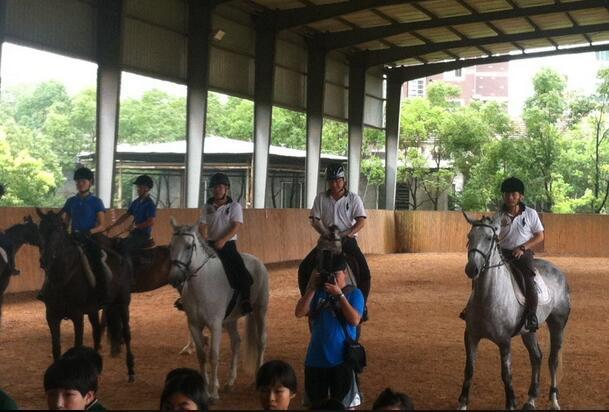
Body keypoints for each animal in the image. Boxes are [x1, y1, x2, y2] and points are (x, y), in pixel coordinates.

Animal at [36, 208, 136, 382]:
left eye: (58, 230)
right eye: (40, 230)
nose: (45, 260)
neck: (62, 278)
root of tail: (120, 257)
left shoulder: (77, 316)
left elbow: (77, 345)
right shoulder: (52, 316)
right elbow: (56, 348)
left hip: (122, 303)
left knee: (126, 333)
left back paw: (130, 370)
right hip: (94, 310)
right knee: (97, 332)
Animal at [168, 218, 268, 402]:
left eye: (188, 246)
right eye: (171, 246)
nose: (174, 278)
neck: (201, 284)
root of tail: (257, 260)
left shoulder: (214, 325)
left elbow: (213, 356)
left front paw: (213, 393)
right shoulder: (194, 324)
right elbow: (201, 356)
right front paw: (206, 389)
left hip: (260, 309)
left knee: (261, 341)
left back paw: (257, 379)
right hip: (230, 319)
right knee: (236, 341)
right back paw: (230, 382)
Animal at [459, 213, 571, 410]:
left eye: (489, 238)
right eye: (469, 236)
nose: (472, 269)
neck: (487, 297)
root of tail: (559, 272)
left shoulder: (504, 341)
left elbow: (506, 374)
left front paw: (511, 403)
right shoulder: (471, 336)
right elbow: (469, 370)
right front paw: (463, 404)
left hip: (557, 324)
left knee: (553, 361)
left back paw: (554, 401)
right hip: (528, 331)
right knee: (537, 357)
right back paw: (531, 399)